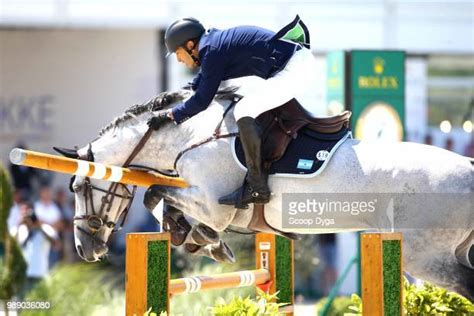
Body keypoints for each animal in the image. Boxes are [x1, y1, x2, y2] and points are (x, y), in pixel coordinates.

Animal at [56, 87, 474, 302]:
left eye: (77, 187)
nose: (84, 248)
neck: (190, 136)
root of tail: (469, 170)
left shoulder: (213, 204)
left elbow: (155, 195)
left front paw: (201, 239)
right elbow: (161, 199)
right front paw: (199, 240)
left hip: (425, 256)